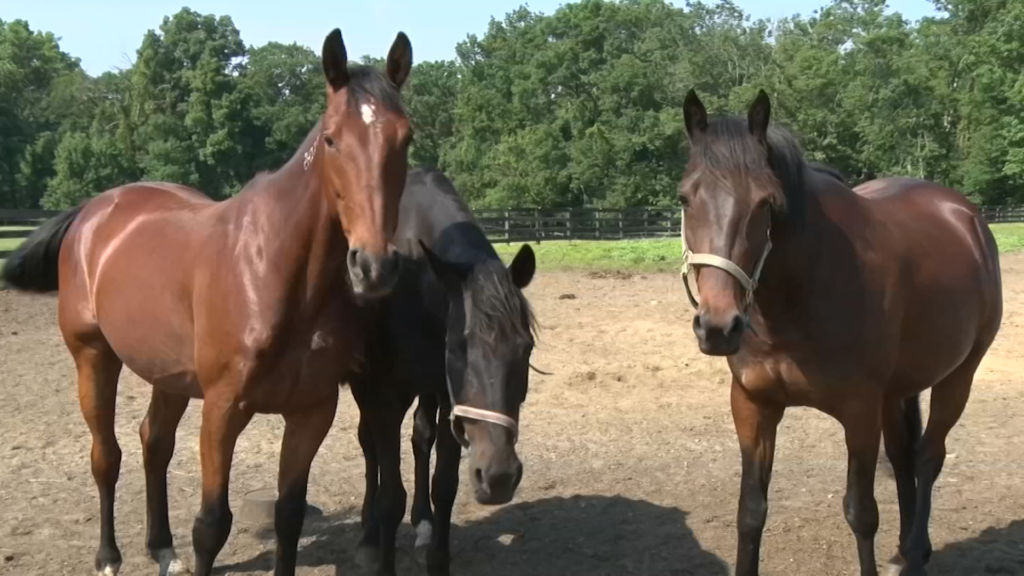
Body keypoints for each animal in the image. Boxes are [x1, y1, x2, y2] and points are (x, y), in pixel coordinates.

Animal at [0, 29, 413, 576]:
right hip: (93, 357)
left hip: (169, 375)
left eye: (405, 139)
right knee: (105, 456)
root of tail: (95, 210)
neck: (273, 270)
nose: (373, 265)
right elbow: (212, 524)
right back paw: (108, 556)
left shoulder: (312, 411)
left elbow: (289, 514)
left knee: (153, 441)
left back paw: (161, 547)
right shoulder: (222, 410)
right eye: (331, 139)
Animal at [348, 167, 536, 576]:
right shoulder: (384, 397)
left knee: (421, 439)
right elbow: (390, 495)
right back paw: (368, 537)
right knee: (369, 445)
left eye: (526, 348)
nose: (499, 477)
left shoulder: (451, 400)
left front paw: (437, 556)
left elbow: (444, 485)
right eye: (458, 347)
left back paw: (422, 523)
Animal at [677, 90, 1002, 576]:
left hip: (958, 376)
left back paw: (917, 552)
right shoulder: (753, 406)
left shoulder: (859, 410)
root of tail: (967, 217)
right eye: (684, 199)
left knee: (928, 457)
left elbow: (861, 513)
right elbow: (750, 512)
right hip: (897, 391)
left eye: (766, 203)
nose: (718, 326)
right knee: (904, 460)